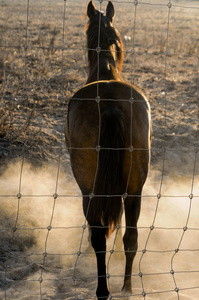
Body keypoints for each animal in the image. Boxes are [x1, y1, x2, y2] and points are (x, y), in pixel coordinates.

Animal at [65, 1, 151, 298]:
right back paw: (127, 287)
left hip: (88, 188)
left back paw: (103, 289)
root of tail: (111, 103)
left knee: (98, 237)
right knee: (131, 237)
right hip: (135, 187)